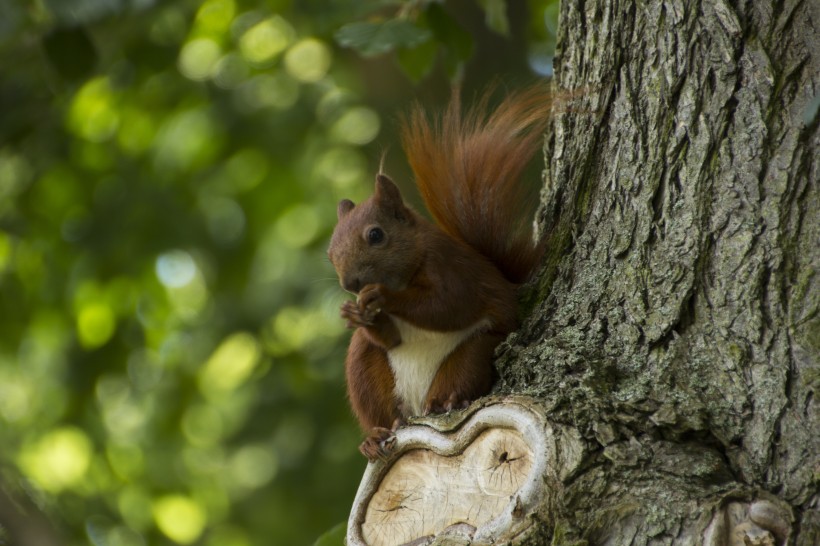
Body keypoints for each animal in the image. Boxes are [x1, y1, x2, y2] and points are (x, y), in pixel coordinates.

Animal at [328, 86, 552, 460]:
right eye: (330, 251)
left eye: (376, 235)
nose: (350, 284)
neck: (407, 270)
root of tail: (416, 404)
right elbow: (392, 337)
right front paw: (356, 314)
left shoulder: (451, 268)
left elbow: (447, 307)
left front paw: (383, 297)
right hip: (365, 371)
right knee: (381, 403)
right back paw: (375, 436)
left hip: (473, 351)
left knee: (462, 371)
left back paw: (446, 400)